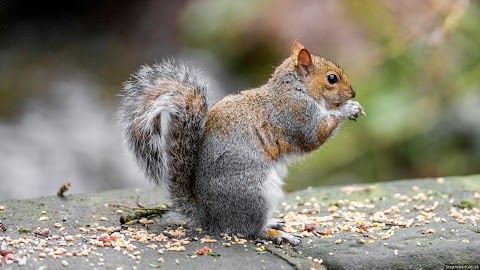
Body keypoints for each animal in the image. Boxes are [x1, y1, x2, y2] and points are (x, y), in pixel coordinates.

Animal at [118, 40, 366, 245]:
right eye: (332, 78)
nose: (353, 93)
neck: (296, 88)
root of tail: (210, 217)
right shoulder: (297, 115)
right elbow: (314, 136)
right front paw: (347, 109)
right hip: (255, 192)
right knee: (250, 230)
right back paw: (277, 233)